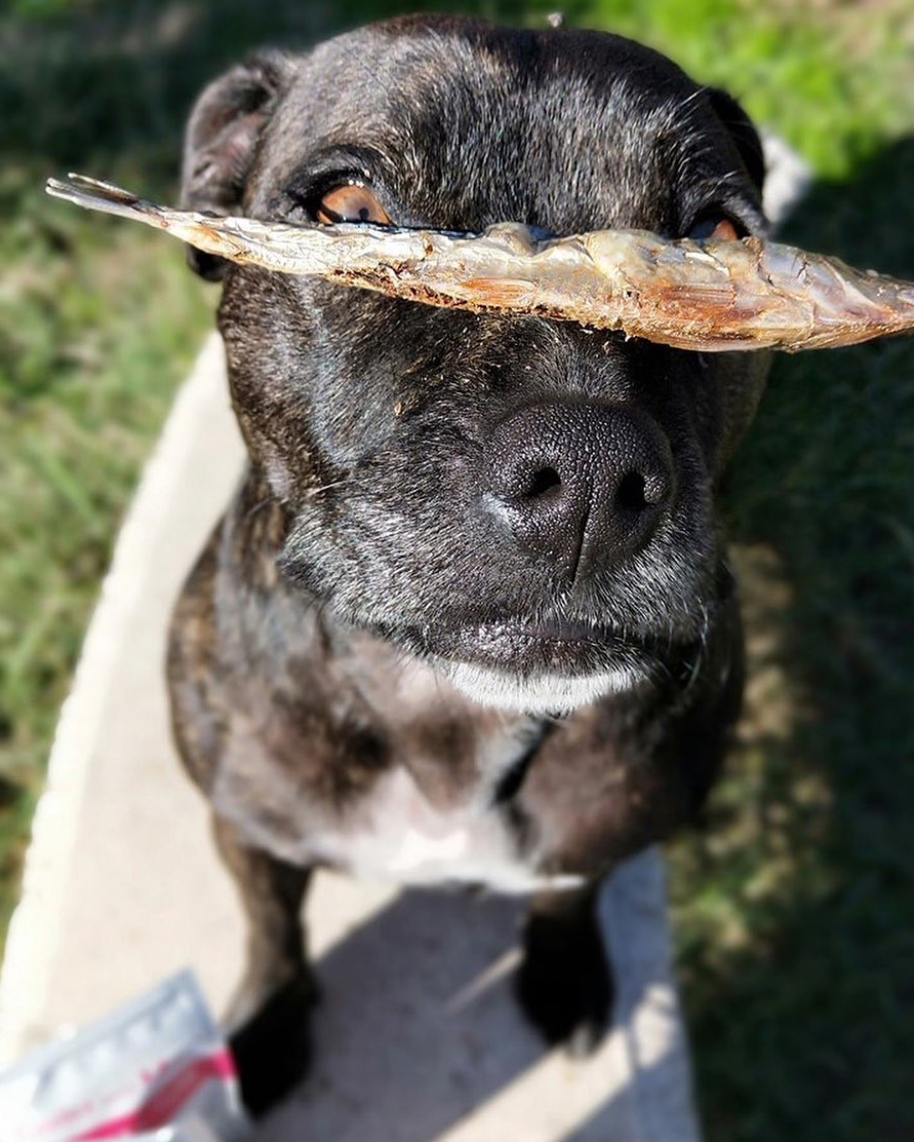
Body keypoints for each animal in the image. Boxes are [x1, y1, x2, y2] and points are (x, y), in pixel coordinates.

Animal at [165, 13, 772, 1119]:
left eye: (717, 240)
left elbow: (568, 891)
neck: (444, 714)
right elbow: (270, 927)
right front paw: (265, 1024)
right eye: (349, 213)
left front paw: (564, 969)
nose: (587, 471)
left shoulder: (597, 833)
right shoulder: (249, 824)